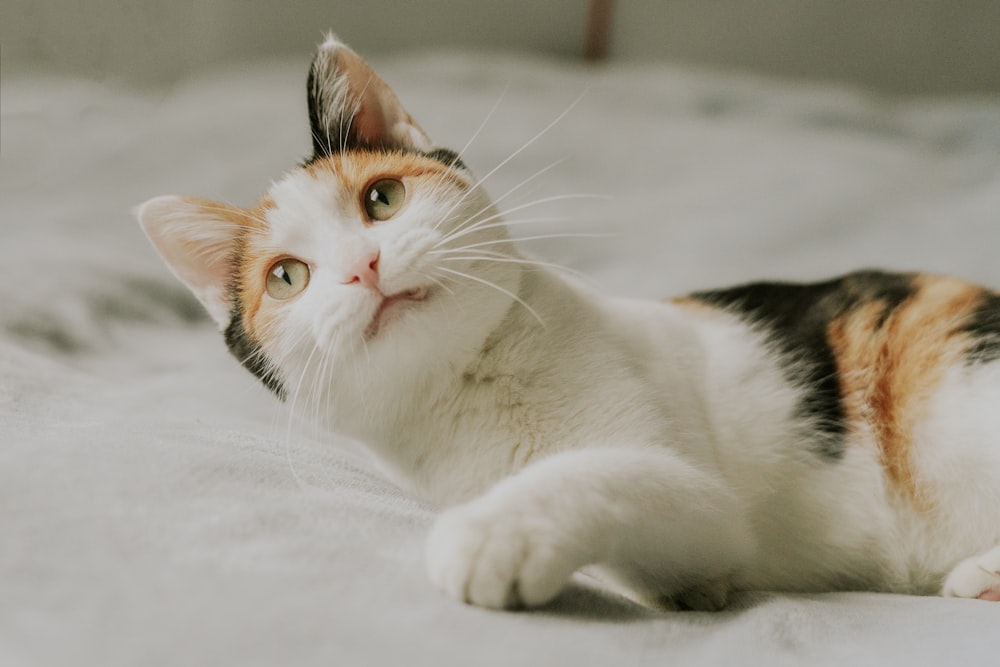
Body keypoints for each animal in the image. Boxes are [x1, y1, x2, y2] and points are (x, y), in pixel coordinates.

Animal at [137, 35, 1000, 612]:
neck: (469, 389)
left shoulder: (701, 496)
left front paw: (495, 531)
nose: (363, 266)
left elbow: (599, 474)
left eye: (382, 198)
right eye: (288, 276)